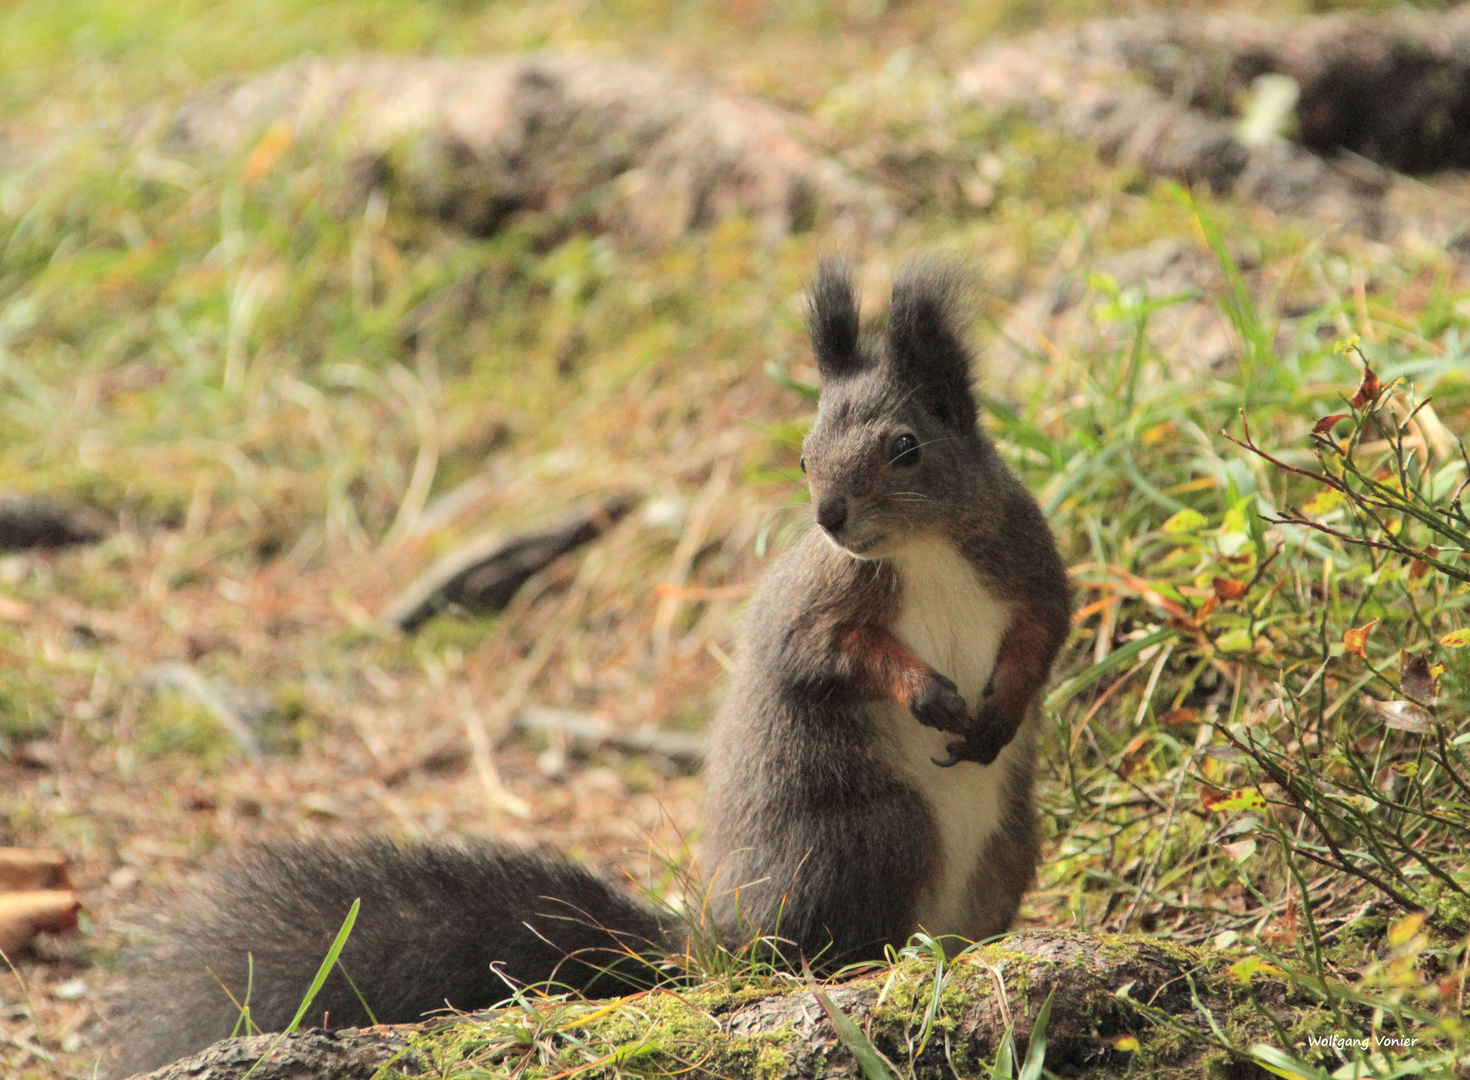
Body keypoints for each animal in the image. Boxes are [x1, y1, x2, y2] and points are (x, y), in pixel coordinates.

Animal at [106, 257, 1070, 1075]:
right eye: (803, 453)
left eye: (905, 447)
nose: (829, 516)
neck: (924, 550)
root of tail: (716, 943)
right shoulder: (819, 605)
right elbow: (829, 656)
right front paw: (929, 691)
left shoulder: (1029, 566)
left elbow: (1043, 638)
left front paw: (1000, 705)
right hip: (870, 833)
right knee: (824, 946)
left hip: (1005, 845)